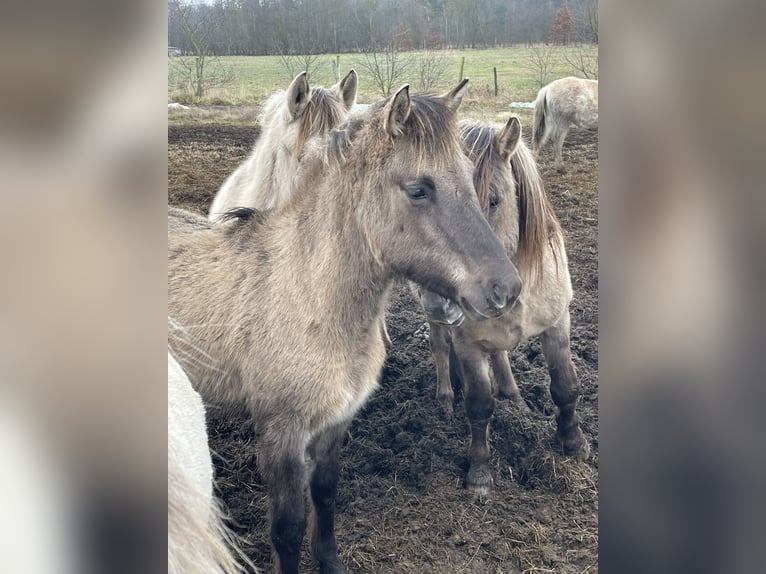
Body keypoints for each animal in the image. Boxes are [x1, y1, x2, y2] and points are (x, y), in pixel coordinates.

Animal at [424, 117, 592, 496]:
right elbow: (478, 404)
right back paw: (445, 398)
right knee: (441, 346)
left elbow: (565, 385)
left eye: (494, 201)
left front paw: (573, 443)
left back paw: (514, 396)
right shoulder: (468, 342)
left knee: (499, 353)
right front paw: (479, 471)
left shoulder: (558, 324)